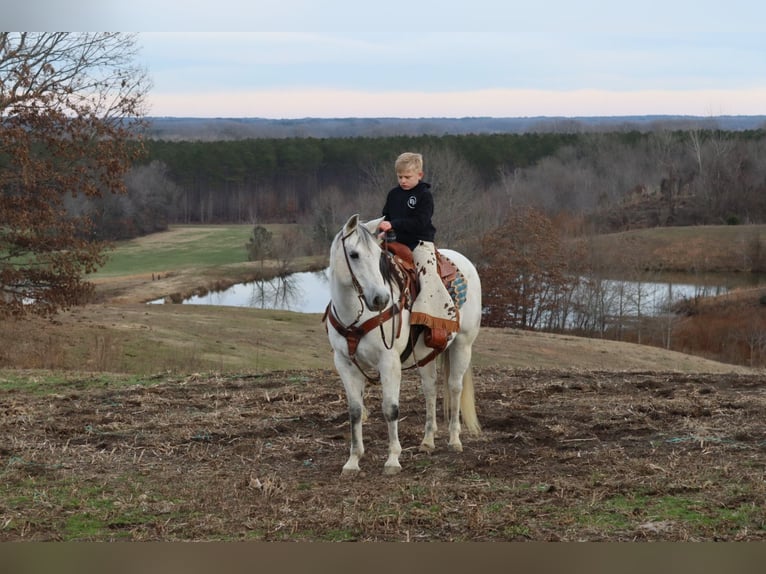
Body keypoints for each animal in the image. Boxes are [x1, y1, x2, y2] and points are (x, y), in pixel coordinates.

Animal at [326, 214, 484, 474]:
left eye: (378, 256)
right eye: (354, 254)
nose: (380, 299)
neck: (356, 315)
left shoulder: (389, 362)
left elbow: (391, 409)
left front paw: (393, 459)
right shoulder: (344, 363)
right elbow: (355, 411)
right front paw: (353, 461)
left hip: (463, 345)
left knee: (454, 388)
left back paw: (454, 440)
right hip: (427, 353)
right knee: (430, 389)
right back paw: (428, 442)